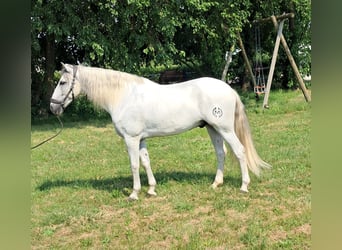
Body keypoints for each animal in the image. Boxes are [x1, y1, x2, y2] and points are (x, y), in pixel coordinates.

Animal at [50, 63, 270, 200]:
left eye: (62, 82)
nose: (52, 107)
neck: (123, 96)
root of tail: (229, 89)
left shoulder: (131, 139)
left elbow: (134, 165)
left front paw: (134, 194)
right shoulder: (140, 139)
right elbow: (146, 162)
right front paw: (151, 190)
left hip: (225, 129)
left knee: (240, 151)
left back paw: (244, 186)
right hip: (213, 129)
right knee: (221, 153)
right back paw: (216, 184)